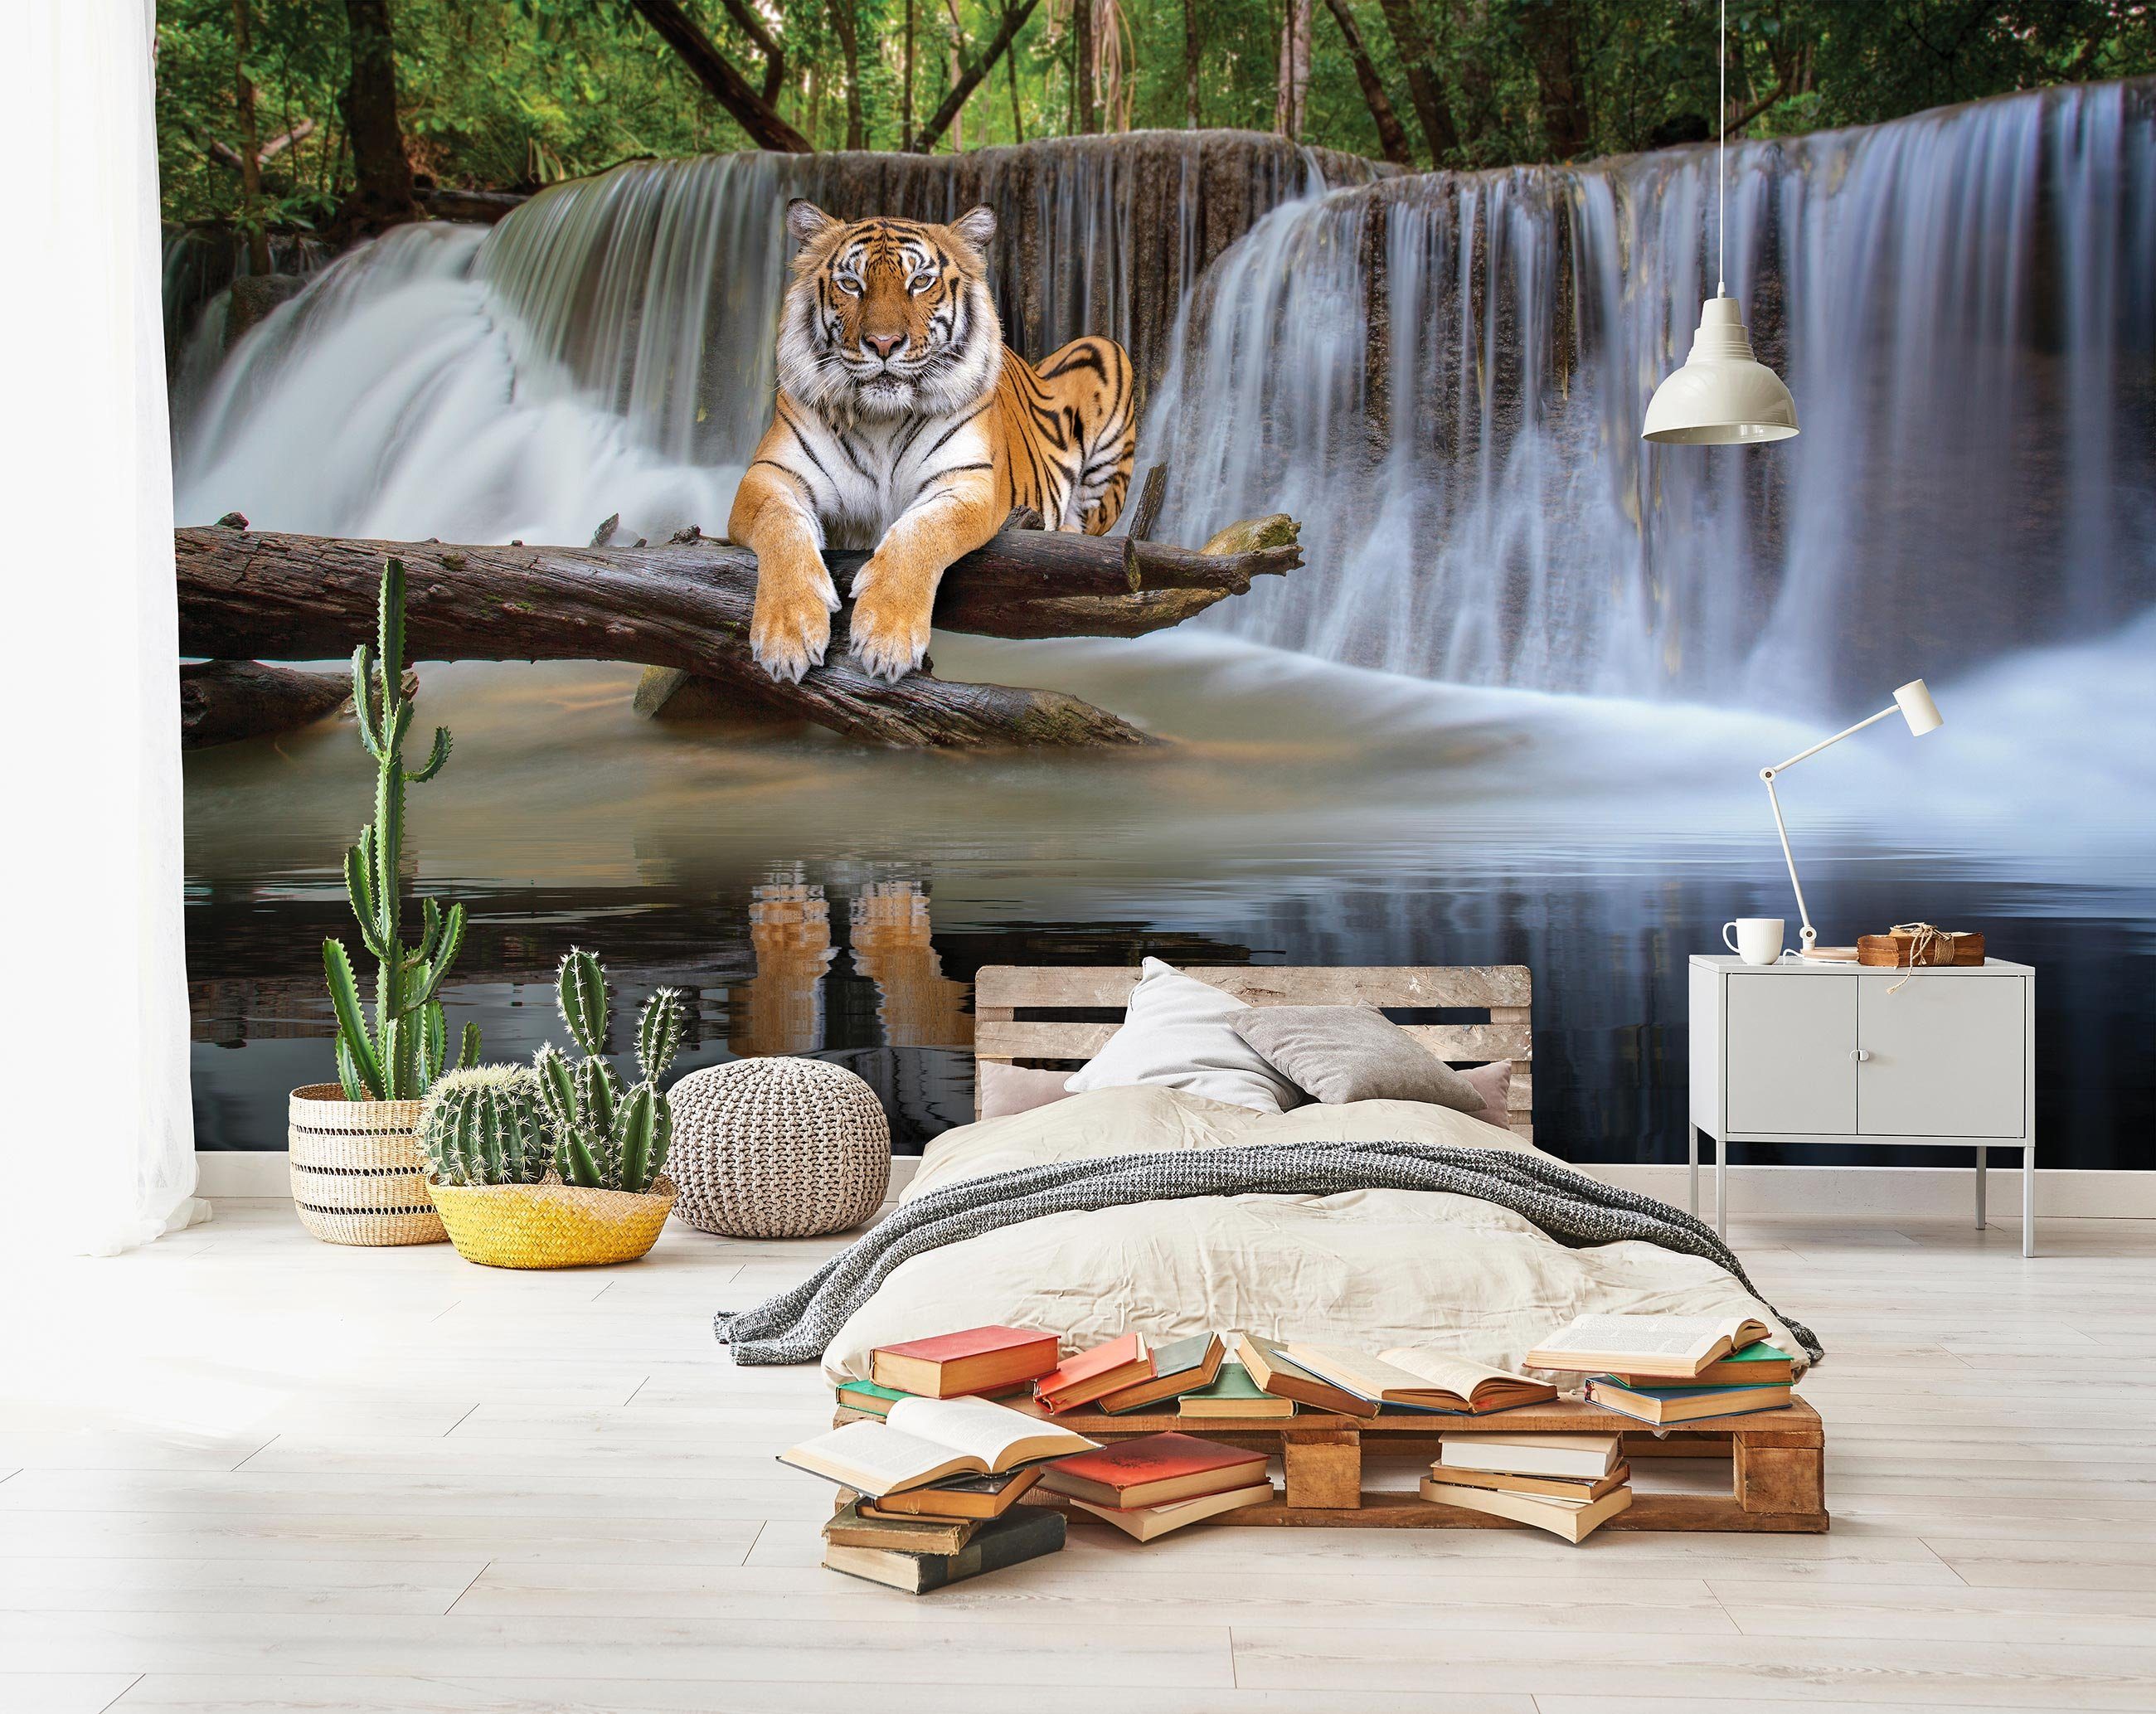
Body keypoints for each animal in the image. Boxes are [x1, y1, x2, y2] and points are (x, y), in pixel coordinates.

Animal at [729, 199, 1137, 684]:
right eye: (851, 284)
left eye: (920, 281)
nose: (883, 343)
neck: (880, 420)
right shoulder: (771, 475)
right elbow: (781, 527)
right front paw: (787, 632)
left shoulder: (967, 482)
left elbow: (920, 531)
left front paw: (887, 634)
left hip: (1105, 352)